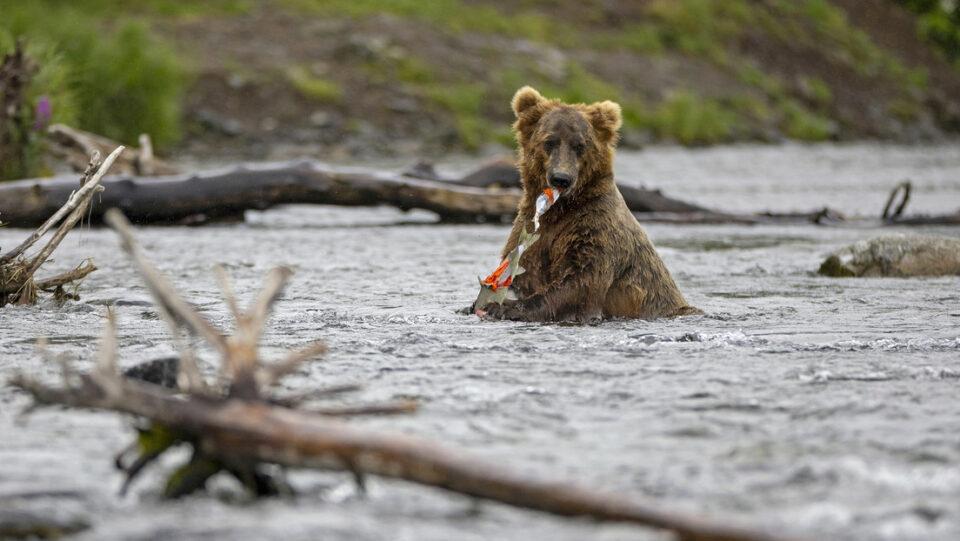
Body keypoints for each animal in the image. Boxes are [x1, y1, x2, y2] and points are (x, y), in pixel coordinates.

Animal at [479, 86, 700, 323]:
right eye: (549, 141)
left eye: (580, 145)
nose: (561, 178)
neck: (560, 209)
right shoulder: (530, 232)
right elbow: (525, 269)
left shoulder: (596, 229)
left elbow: (580, 282)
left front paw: (503, 307)